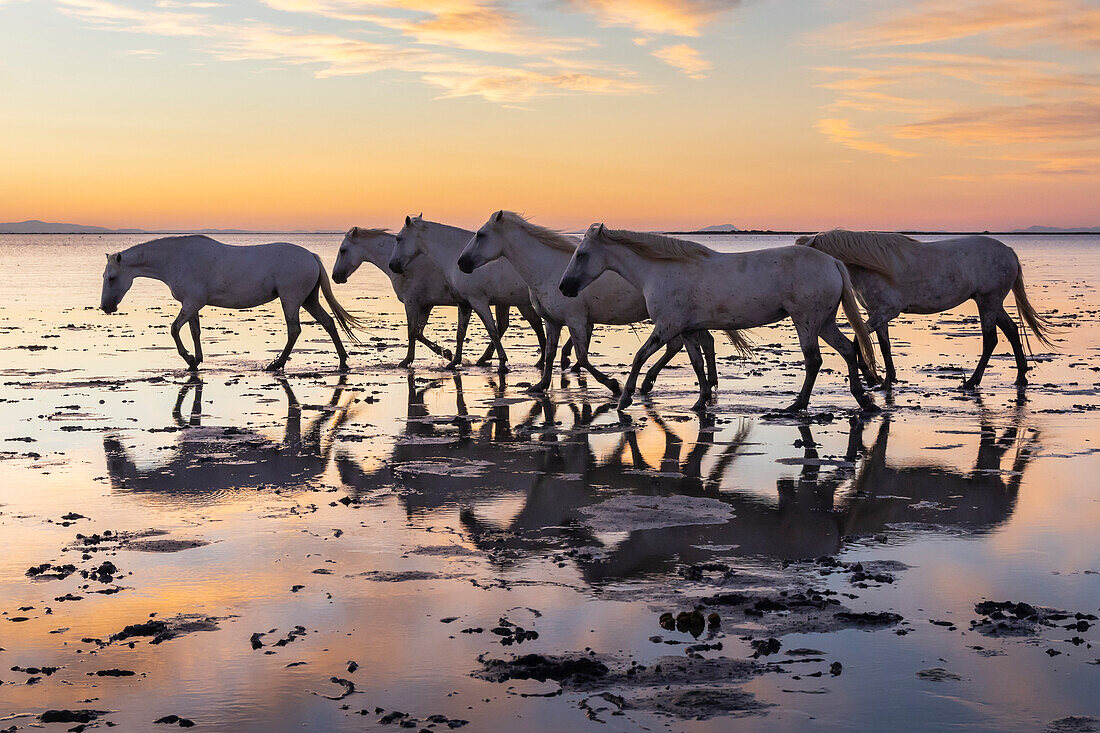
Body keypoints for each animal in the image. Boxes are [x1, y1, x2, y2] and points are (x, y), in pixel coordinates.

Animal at [97, 235, 356, 372]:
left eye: (111, 278)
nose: (105, 307)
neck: (176, 259)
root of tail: (311, 256)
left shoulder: (191, 303)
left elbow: (174, 329)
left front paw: (188, 358)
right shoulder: (193, 305)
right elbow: (194, 332)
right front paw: (196, 361)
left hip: (291, 299)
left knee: (294, 330)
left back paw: (276, 364)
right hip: (308, 299)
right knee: (328, 322)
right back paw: (343, 360)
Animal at [393, 214, 547, 367]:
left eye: (398, 238)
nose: (392, 265)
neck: (455, 254)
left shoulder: (478, 301)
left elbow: (492, 330)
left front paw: (502, 361)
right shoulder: (464, 303)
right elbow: (460, 333)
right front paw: (454, 361)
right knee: (535, 324)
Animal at [453, 210, 721, 394]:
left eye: (480, 234)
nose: (461, 263)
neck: (549, 270)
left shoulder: (577, 321)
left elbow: (581, 357)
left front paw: (613, 385)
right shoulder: (553, 322)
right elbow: (550, 354)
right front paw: (541, 385)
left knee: (679, 345)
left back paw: (649, 384)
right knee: (701, 342)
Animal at [558, 225, 875, 411]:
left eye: (582, 254)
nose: (564, 287)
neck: (659, 271)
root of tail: (832, 262)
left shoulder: (667, 326)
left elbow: (639, 356)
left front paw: (624, 396)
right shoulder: (686, 330)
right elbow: (698, 363)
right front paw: (701, 401)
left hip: (807, 322)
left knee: (814, 360)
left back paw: (797, 405)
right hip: (824, 322)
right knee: (848, 349)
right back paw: (862, 399)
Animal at [800, 228, 1056, 387]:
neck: (872, 266)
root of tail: (1009, 252)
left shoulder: (886, 311)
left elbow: (858, 338)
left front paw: (872, 377)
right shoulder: (878, 313)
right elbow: (885, 346)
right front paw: (887, 381)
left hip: (988, 302)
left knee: (991, 340)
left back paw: (972, 382)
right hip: (991, 303)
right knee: (1012, 331)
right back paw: (1020, 378)